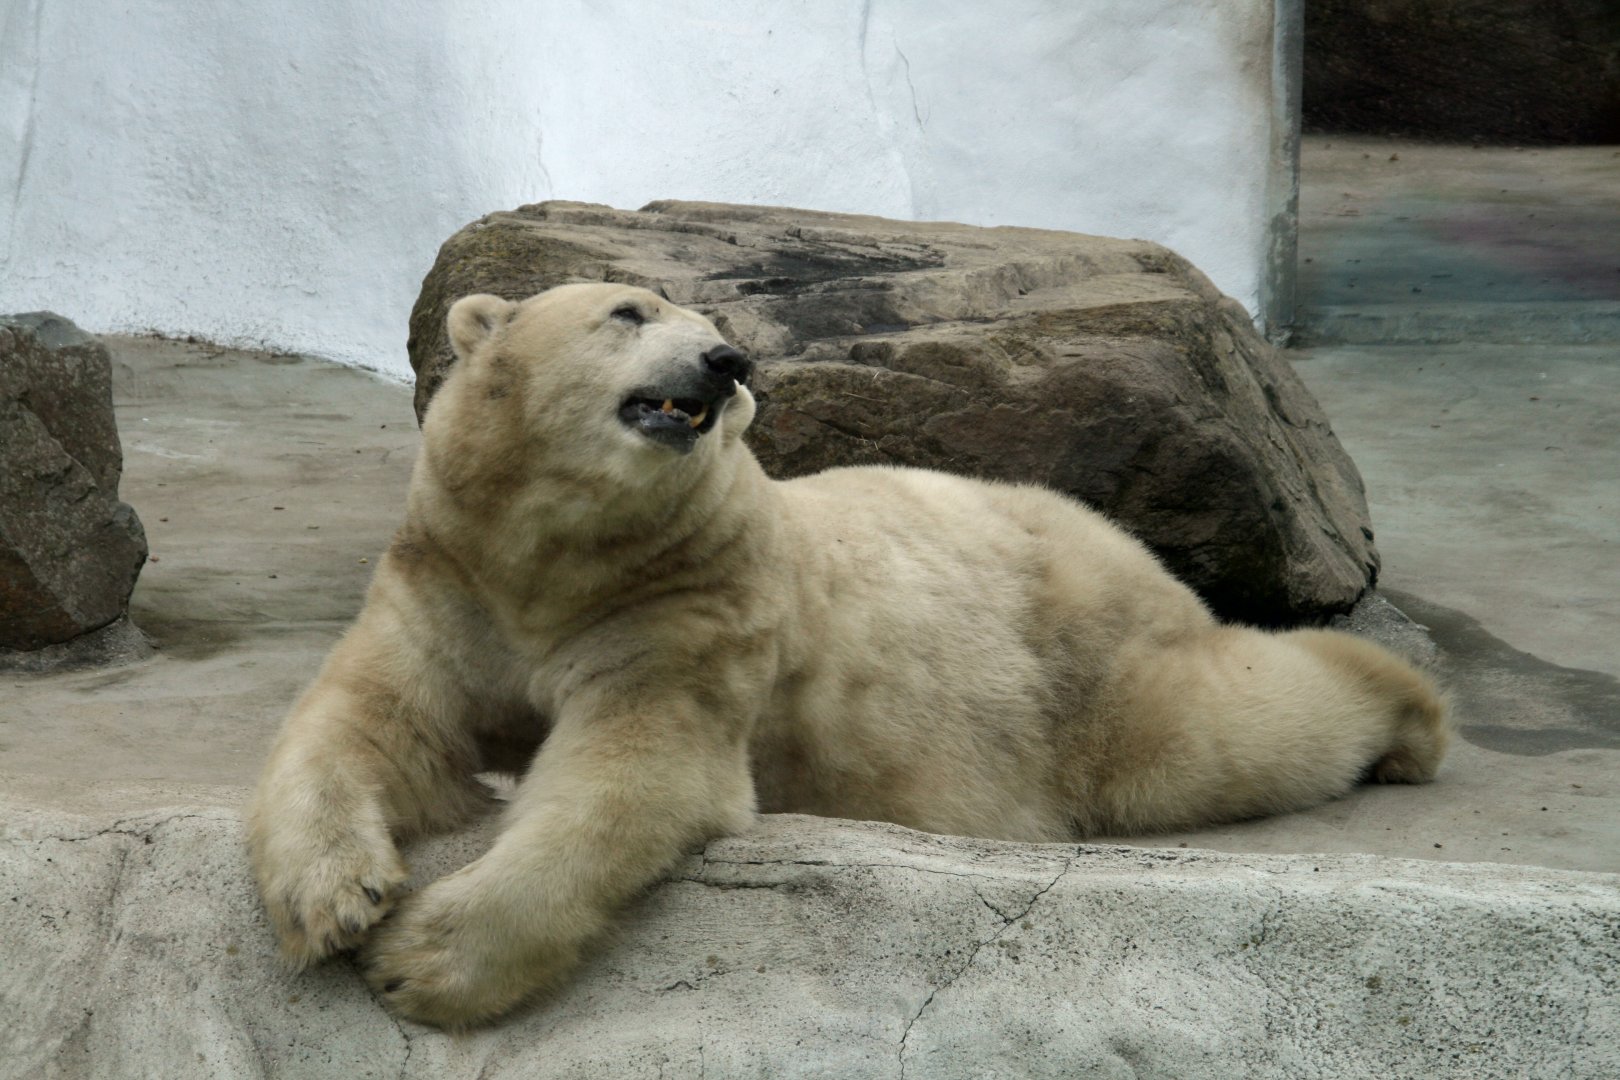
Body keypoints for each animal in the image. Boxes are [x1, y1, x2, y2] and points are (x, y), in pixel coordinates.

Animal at [247, 282, 1450, 1029]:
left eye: (713, 325)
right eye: (626, 311)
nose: (726, 360)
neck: (559, 560)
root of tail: (1120, 546)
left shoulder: (689, 604)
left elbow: (632, 774)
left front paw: (422, 961)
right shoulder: (450, 582)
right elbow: (373, 722)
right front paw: (329, 897)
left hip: (1077, 676)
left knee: (1215, 728)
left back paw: (1411, 722)